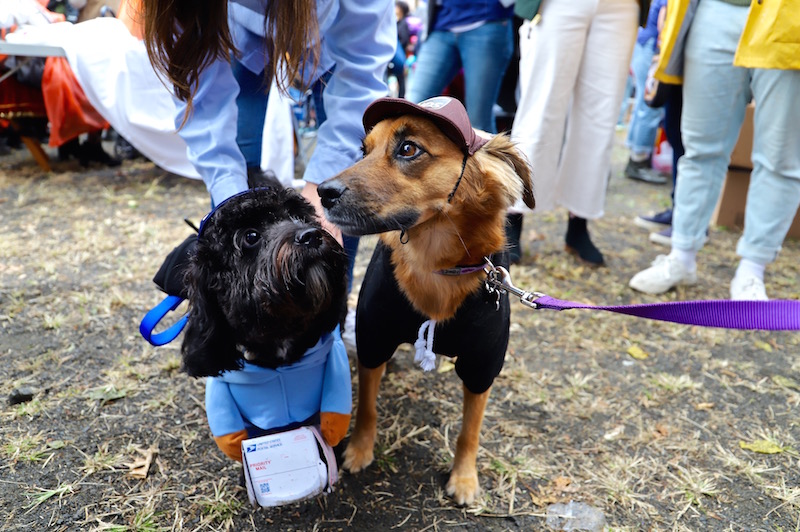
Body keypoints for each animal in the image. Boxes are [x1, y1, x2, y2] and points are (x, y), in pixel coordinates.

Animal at [318, 96, 532, 502]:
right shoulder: (374, 338)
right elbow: (367, 406)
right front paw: (360, 449)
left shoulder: (482, 365)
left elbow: (470, 430)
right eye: (364, 151)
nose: (323, 192)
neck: (435, 265)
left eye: (408, 149)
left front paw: (464, 478)